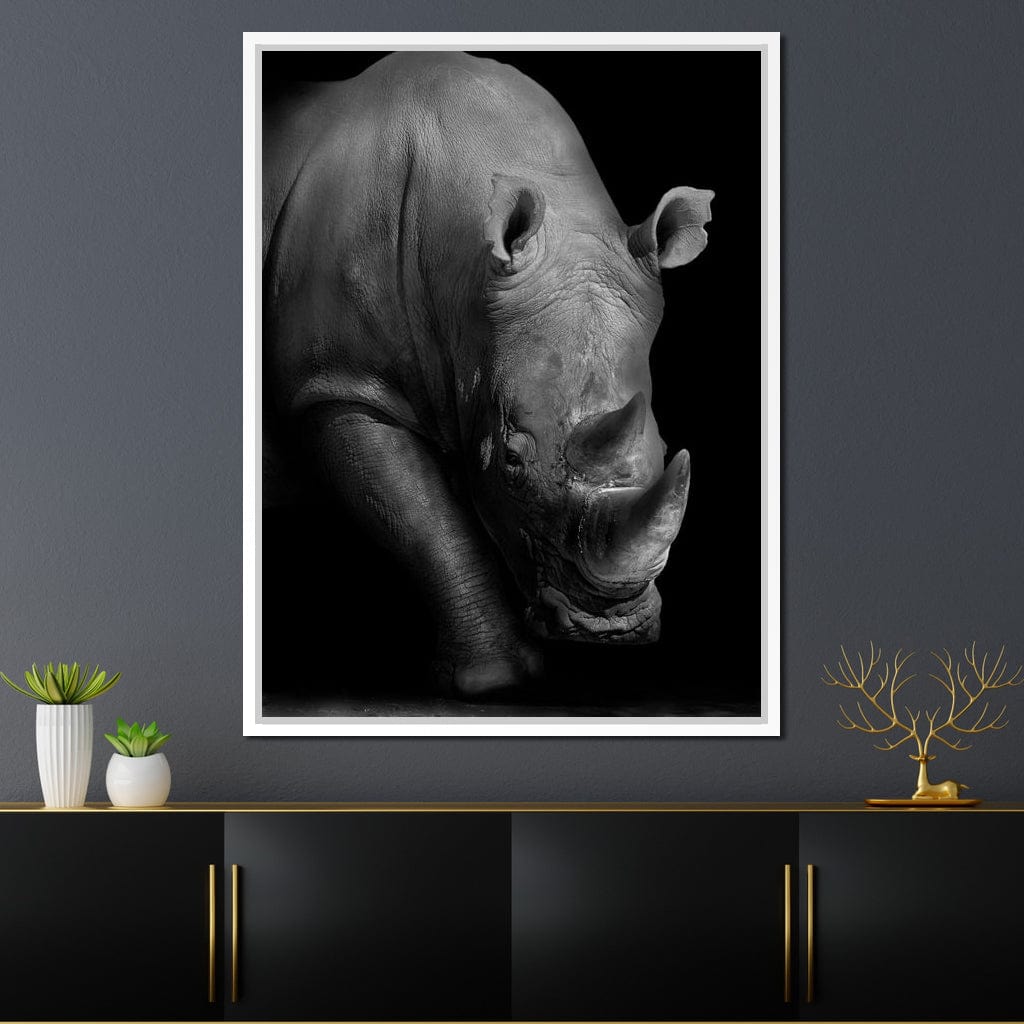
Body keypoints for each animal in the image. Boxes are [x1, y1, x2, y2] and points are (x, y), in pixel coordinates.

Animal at [263, 52, 713, 700]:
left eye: (660, 446)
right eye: (512, 460)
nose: (610, 628)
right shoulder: (339, 384)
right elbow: (423, 519)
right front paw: (492, 682)